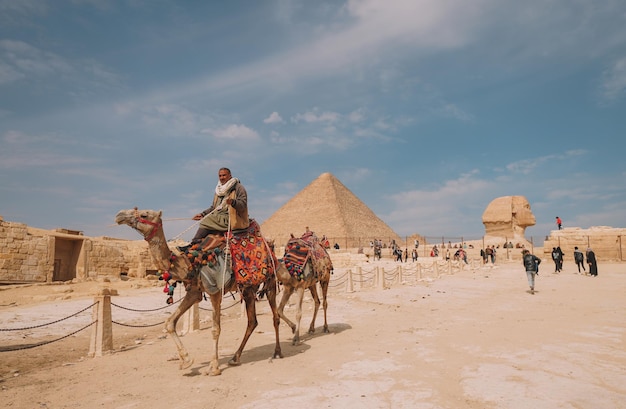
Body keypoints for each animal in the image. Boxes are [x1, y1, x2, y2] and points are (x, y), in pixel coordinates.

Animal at [115, 207, 282, 372]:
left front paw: (213, 366)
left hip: (270, 283)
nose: (119, 215)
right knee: (253, 321)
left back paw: (277, 352)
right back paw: (235, 358)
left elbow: (215, 329)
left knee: (275, 316)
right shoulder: (194, 292)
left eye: (144, 214)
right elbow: (170, 322)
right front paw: (186, 361)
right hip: (248, 288)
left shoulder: (215, 291)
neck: (191, 262)